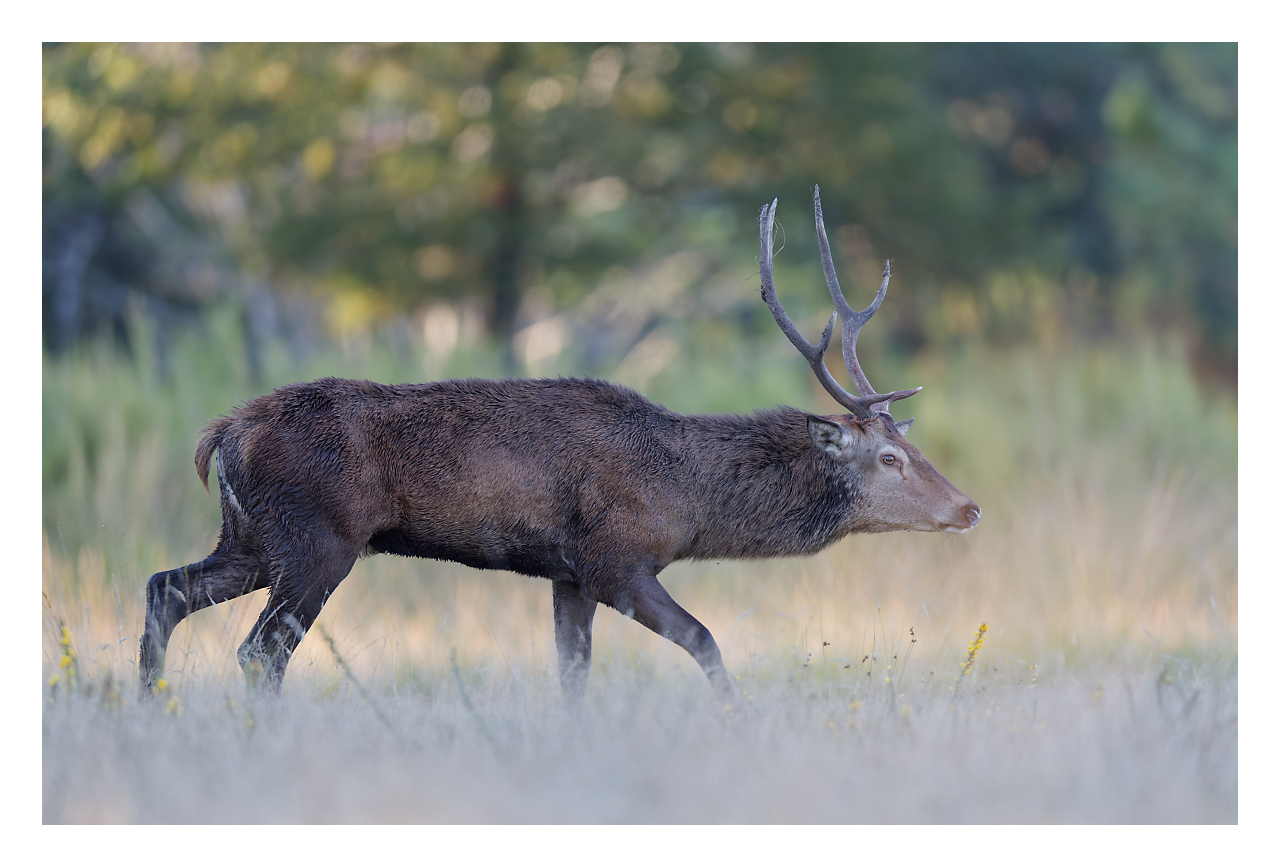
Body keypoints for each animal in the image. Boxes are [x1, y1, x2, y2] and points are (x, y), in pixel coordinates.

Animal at [139, 187, 980, 705]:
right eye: (890, 458)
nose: (969, 507)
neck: (688, 499)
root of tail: (222, 433)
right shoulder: (615, 557)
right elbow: (706, 641)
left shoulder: (566, 573)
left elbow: (572, 674)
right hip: (317, 538)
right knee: (258, 652)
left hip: (254, 537)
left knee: (164, 587)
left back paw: (147, 714)